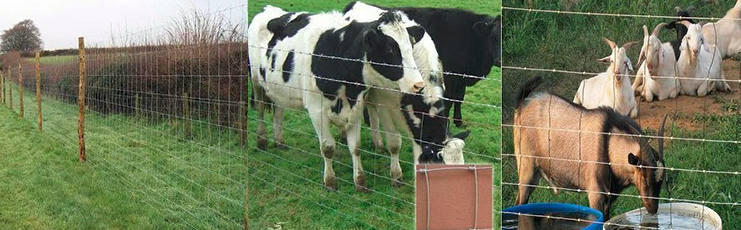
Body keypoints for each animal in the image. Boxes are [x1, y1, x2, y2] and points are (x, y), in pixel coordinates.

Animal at [247, 6, 422, 191]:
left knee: (278, 111)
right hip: (256, 81)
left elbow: (356, 147)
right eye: (390, 49)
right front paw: (330, 181)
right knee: (260, 109)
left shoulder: (356, 107)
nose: (418, 84)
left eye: (411, 46)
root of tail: (268, 9)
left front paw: (360, 181)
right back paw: (262, 140)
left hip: (278, 88)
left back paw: (279, 141)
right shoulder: (316, 111)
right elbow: (327, 147)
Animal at [344, 1, 500, 127]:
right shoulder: (450, 77)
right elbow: (449, 100)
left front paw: (458, 121)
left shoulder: (461, 78)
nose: (499, 60)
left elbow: (459, 98)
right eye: (493, 37)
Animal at [512, 77, 668, 219]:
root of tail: (522, 105)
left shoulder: (608, 198)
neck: (608, 144)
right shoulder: (595, 194)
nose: (653, 209)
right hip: (526, 168)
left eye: (661, 182)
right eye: (645, 179)